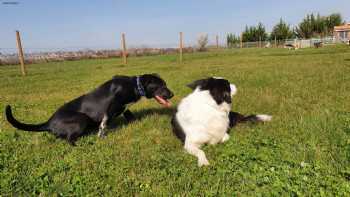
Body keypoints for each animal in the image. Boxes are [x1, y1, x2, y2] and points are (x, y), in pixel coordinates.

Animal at [4, 73, 174, 145]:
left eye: (166, 84)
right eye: (161, 86)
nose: (172, 94)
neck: (134, 85)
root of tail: (49, 122)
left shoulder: (125, 108)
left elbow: (130, 115)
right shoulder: (111, 106)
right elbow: (104, 124)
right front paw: (101, 136)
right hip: (82, 119)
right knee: (68, 140)